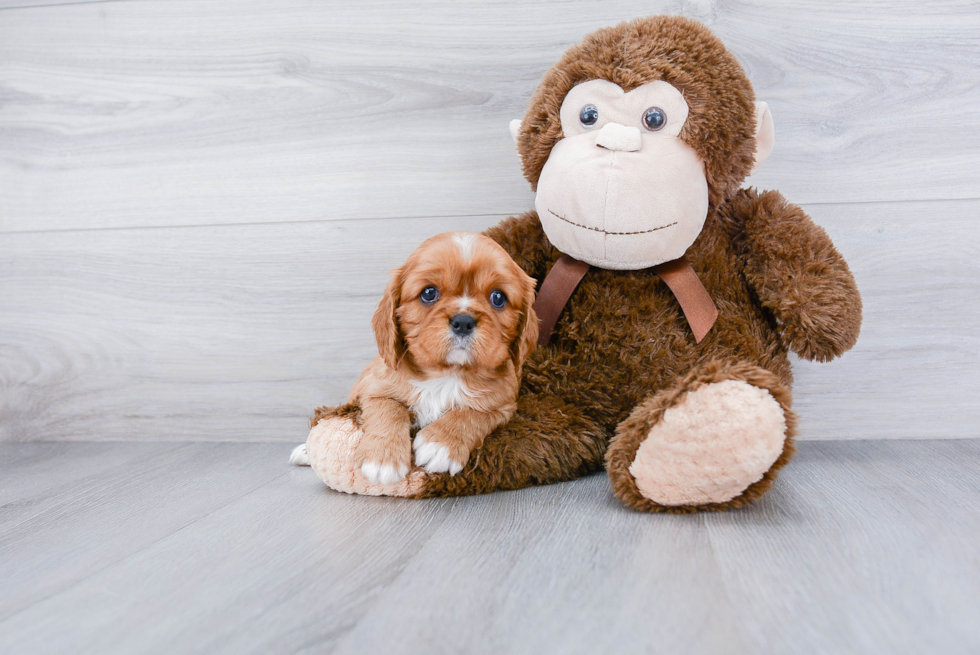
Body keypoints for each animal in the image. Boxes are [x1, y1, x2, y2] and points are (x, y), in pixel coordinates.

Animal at [294, 231, 540, 482]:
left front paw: (440, 444)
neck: (447, 373)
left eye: (498, 297)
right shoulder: (373, 390)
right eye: (429, 293)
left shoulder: (504, 405)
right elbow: (389, 408)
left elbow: (473, 412)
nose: (463, 321)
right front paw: (382, 458)